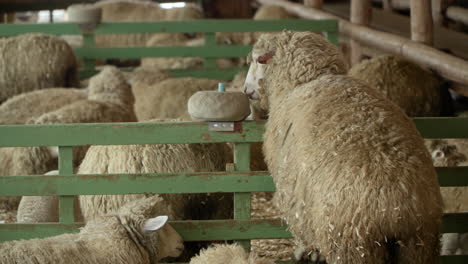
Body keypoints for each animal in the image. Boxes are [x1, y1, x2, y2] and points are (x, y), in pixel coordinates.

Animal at [243, 31, 444, 264]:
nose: (246, 90)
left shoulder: (293, 192)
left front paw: (305, 252)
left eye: (257, 60)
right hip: (418, 244)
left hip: (352, 244)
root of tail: (395, 208)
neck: (306, 81)